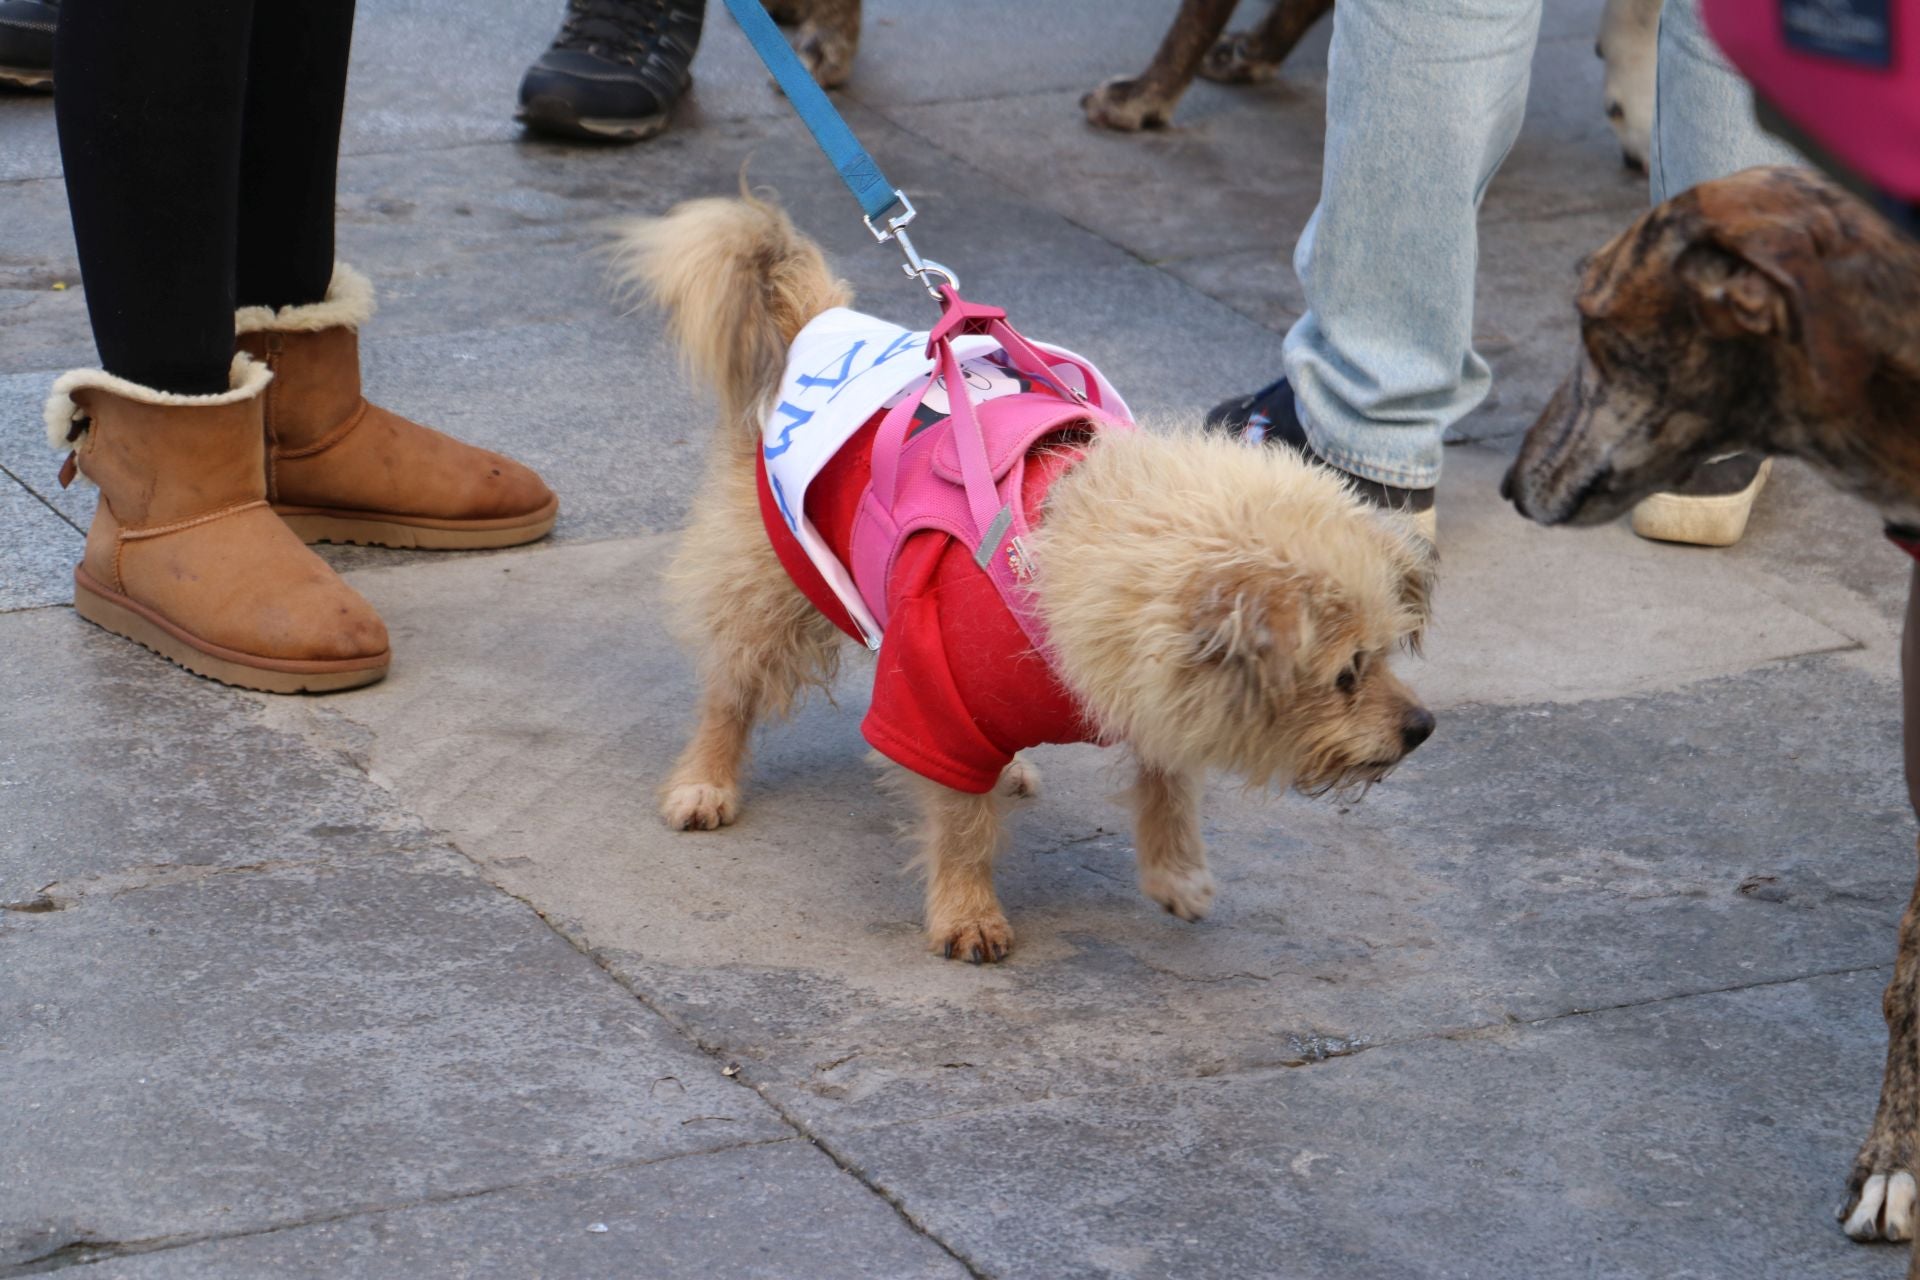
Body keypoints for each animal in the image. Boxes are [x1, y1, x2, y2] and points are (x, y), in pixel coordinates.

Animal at [622, 192, 1436, 959]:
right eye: (1345, 674)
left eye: (1385, 654)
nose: (1422, 729)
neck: (1063, 557)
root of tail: (818, 324)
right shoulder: (931, 705)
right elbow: (960, 824)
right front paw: (966, 910)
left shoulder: (1145, 682)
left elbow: (1168, 783)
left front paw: (1173, 868)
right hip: (764, 584)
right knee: (733, 685)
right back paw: (706, 777)